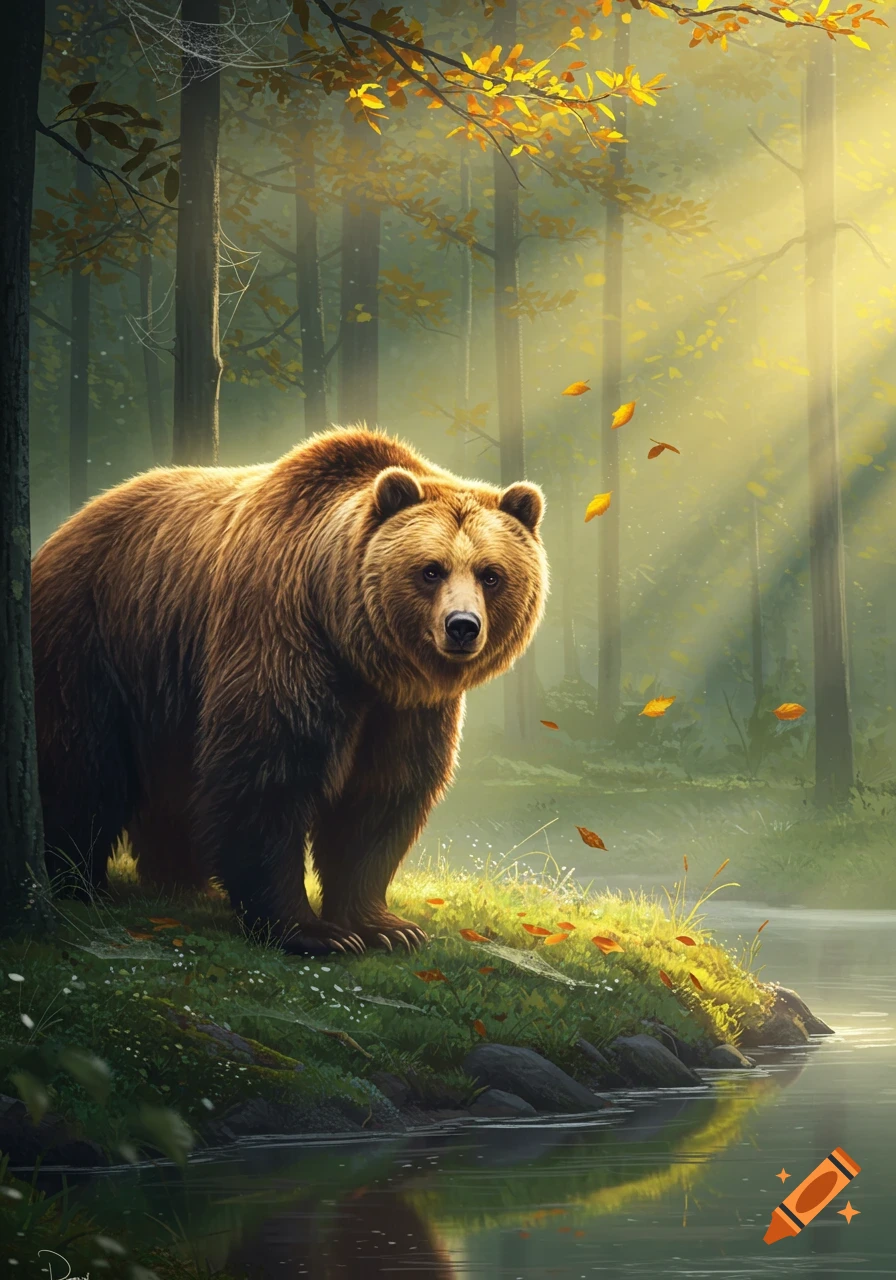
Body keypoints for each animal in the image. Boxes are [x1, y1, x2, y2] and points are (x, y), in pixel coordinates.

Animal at [31, 427, 548, 955]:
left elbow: (384, 792)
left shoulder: (406, 706)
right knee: (83, 764)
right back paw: (80, 883)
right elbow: (270, 773)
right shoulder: (280, 637)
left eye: (491, 574)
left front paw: (387, 926)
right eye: (431, 569)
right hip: (94, 639)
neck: (356, 649)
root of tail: (64, 528)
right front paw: (313, 931)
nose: (462, 626)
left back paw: (178, 880)